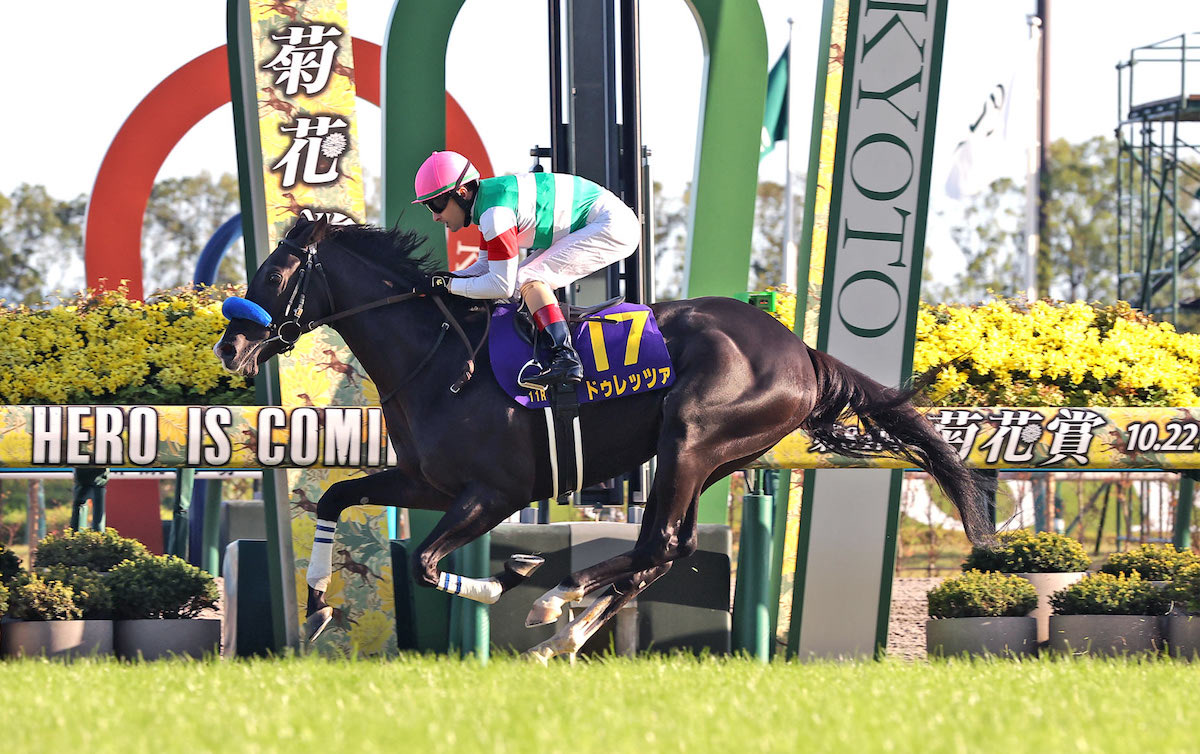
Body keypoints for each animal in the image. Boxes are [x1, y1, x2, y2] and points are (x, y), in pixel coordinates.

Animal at [216, 213, 993, 657]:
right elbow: (335, 499)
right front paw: (317, 607)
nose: (230, 347)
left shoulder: (492, 493)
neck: (438, 362)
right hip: (708, 456)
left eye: (275, 271)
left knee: (656, 546)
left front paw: (512, 577)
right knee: (669, 549)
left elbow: (427, 566)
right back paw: (566, 628)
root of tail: (801, 349)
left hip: (692, 436)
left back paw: (555, 605)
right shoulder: (426, 481)